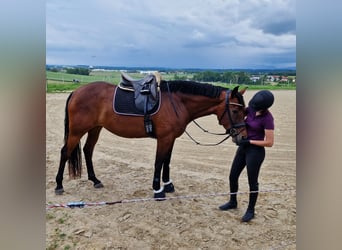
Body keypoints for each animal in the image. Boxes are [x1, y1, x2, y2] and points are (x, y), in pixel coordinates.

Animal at [54, 77, 246, 198]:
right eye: (235, 110)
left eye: (244, 111)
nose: (242, 138)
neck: (177, 102)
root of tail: (75, 92)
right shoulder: (164, 139)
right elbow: (158, 162)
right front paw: (157, 190)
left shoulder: (171, 139)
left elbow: (167, 161)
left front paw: (168, 185)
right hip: (77, 131)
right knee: (65, 152)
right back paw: (59, 185)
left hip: (95, 128)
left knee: (88, 150)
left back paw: (95, 180)